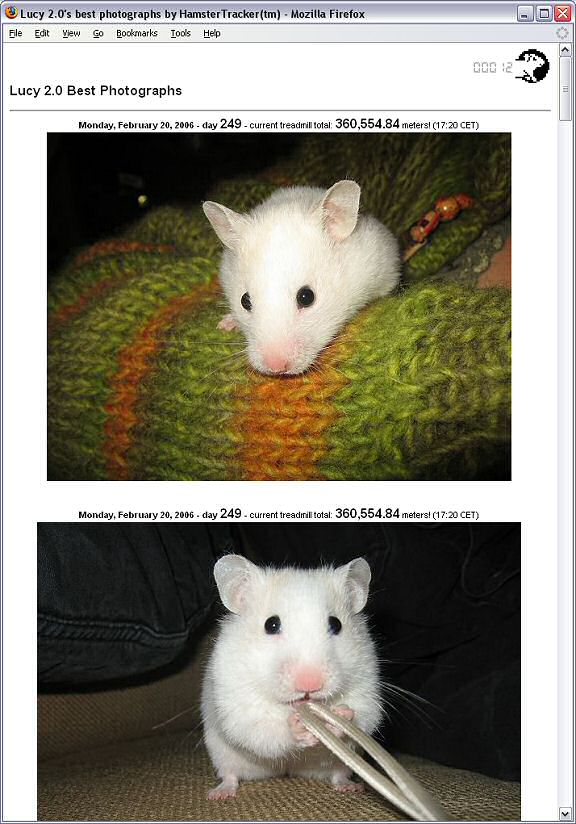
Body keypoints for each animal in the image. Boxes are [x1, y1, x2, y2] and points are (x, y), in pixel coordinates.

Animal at [201, 554, 382, 800]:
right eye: (271, 624)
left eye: (336, 624)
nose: (310, 685)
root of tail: (288, 771)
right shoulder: (235, 701)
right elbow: (261, 728)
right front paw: (297, 726)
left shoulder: (367, 687)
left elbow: (362, 715)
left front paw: (341, 716)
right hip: (222, 753)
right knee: (230, 774)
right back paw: (220, 793)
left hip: (341, 763)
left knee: (338, 774)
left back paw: (350, 787)